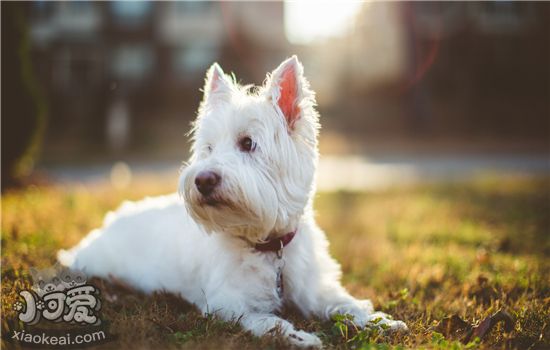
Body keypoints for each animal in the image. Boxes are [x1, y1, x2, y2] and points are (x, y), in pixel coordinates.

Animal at [58, 56, 408, 346]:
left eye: (247, 143)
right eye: (209, 148)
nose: (202, 180)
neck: (267, 245)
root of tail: (110, 220)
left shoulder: (315, 287)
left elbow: (344, 303)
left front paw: (380, 321)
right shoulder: (229, 303)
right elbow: (268, 321)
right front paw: (299, 336)